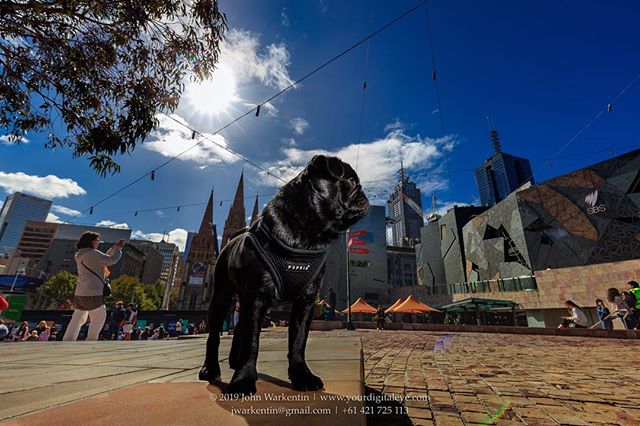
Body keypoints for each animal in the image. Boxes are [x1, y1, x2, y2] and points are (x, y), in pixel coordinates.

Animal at [199, 155, 370, 394]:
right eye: (352, 181)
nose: (364, 193)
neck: (307, 236)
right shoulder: (256, 296)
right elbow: (251, 342)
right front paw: (242, 380)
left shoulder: (305, 300)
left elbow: (298, 341)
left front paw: (302, 376)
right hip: (221, 298)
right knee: (214, 335)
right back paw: (210, 369)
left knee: (240, 328)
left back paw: (233, 361)